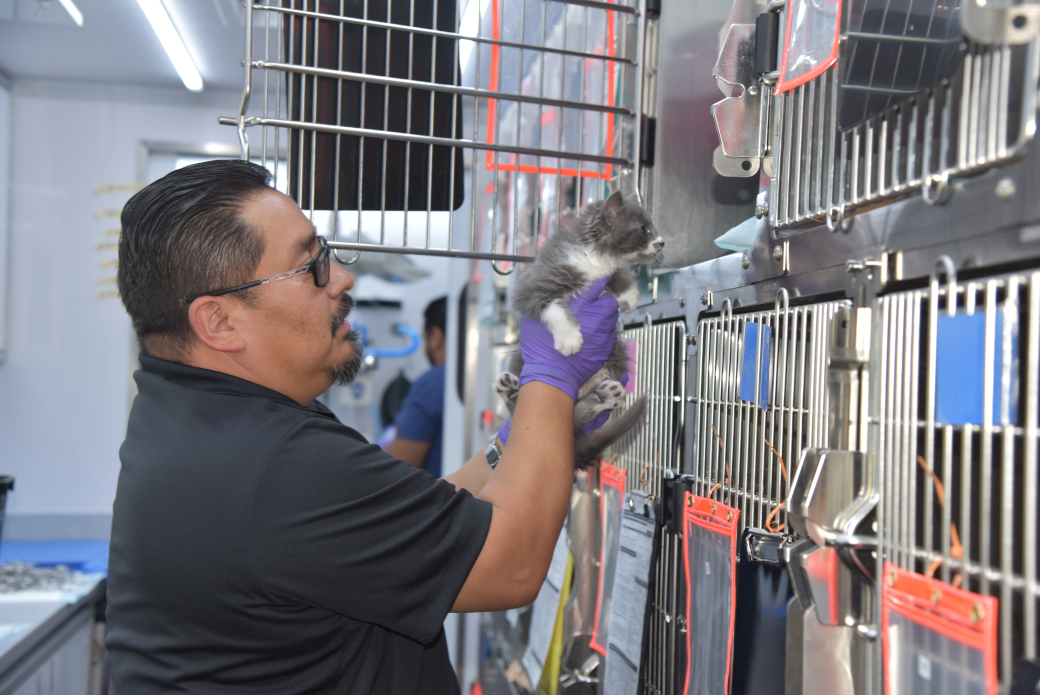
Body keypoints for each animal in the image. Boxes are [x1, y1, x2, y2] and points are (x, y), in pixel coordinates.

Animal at [492, 192, 665, 470]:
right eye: (643, 229)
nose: (662, 242)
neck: (593, 257)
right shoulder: (533, 286)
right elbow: (553, 305)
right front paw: (570, 338)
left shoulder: (603, 276)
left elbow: (615, 275)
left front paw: (629, 295)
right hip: (520, 359)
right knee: (521, 407)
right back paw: (509, 387)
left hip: (616, 355)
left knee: (581, 413)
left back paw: (606, 395)